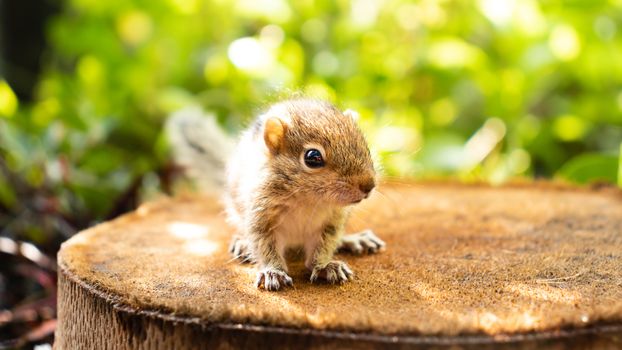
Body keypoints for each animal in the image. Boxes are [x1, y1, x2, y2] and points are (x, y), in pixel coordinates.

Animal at [168, 98, 388, 290]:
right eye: (313, 157)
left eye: (365, 146)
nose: (369, 185)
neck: (308, 200)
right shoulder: (262, 215)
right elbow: (264, 245)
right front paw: (273, 272)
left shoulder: (331, 223)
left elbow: (323, 247)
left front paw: (325, 266)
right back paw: (243, 244)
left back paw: (354, 240)